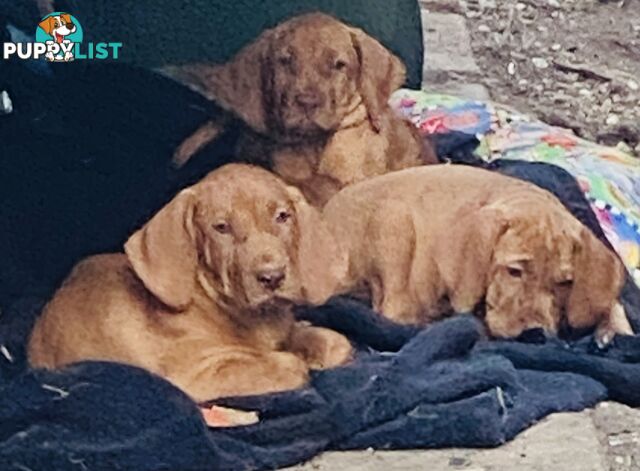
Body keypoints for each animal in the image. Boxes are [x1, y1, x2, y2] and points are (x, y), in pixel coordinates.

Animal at [27, 164, 352, 404]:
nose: (272, 277)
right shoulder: (198, 371)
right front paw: (300, 362)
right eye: (221, 227)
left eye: (282, 217)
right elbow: (286, 366)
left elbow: (335, 342)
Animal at [324, 166, 636, 346]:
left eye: (563, 284)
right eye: (514, 271)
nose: (534, 334)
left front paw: (613, 327)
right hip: (394, 218)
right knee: (391, 312)